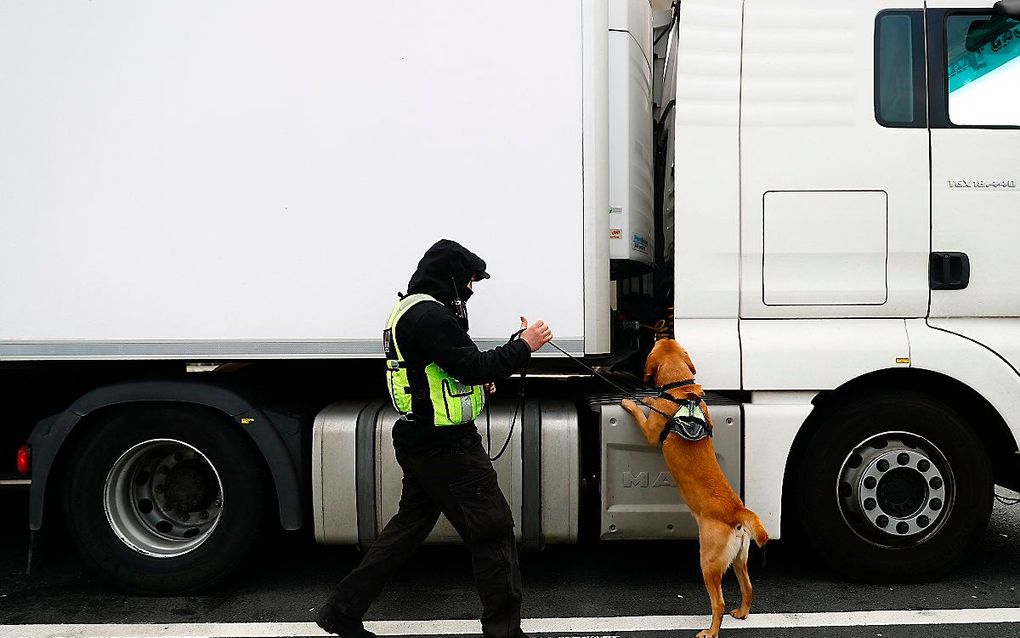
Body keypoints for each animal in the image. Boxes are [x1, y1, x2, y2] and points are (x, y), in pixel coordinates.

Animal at [620, 340, 767, 636]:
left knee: (718, 603)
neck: (682, 389)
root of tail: (737, 510)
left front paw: (632, 402)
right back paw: (742, 613)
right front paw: (648, 399)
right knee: (748, 587)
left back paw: (710, 631)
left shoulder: (650, 432)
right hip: (739, 559)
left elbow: (641, 414)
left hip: (708, 562)